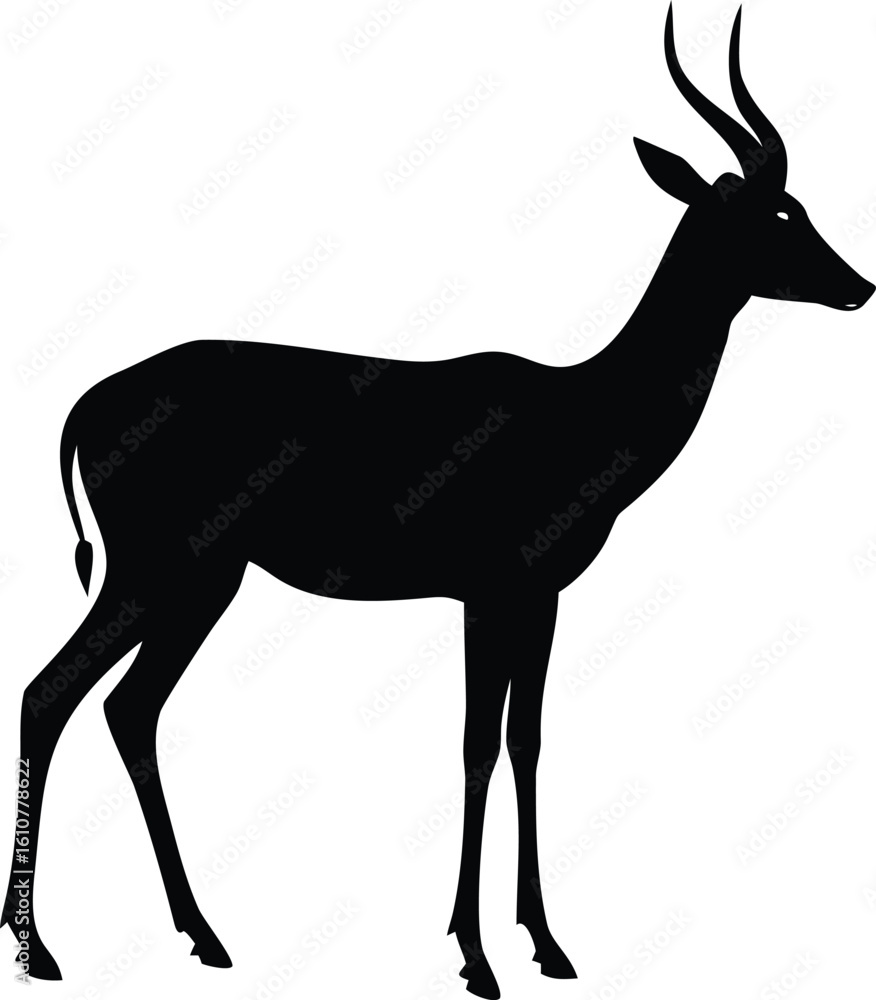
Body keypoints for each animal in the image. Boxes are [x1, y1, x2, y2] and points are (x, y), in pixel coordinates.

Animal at [3, 6, 872, 999]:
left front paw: (549, 946)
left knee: (126, 709)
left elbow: (527, 742)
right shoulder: (488, 593)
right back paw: (41, 948)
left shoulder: (541, 597)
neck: (585, 408)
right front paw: (476, 957)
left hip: (203, 582)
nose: (859, 285)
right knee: (50, 693)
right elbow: (476, 746)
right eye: (776, 212)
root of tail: (88, 402)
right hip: (161, 572)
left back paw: (204, 936)